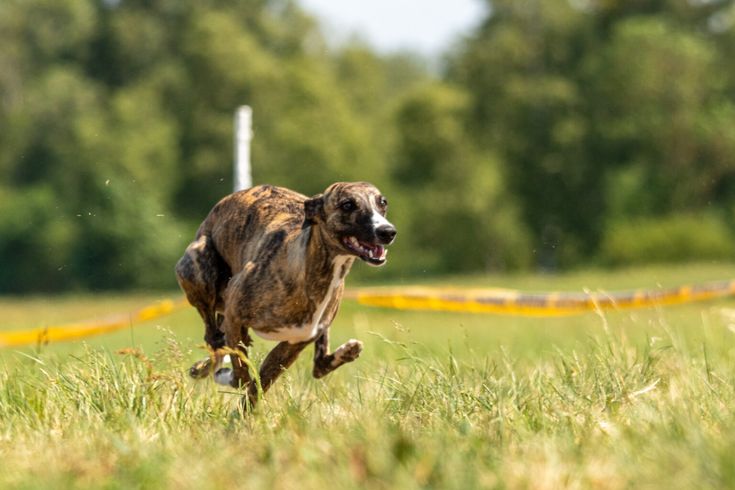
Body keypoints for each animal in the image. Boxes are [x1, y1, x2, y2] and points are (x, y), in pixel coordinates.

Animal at [175, 182, 396, 408]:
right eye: (347, 204)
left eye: (383, 202)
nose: (387, 232)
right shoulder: (235, 316)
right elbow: (242, 371)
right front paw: (233, 381)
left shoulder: (294, 343)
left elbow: (260, 382)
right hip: (198, 264)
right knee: (212, 336)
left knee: (318, 367)